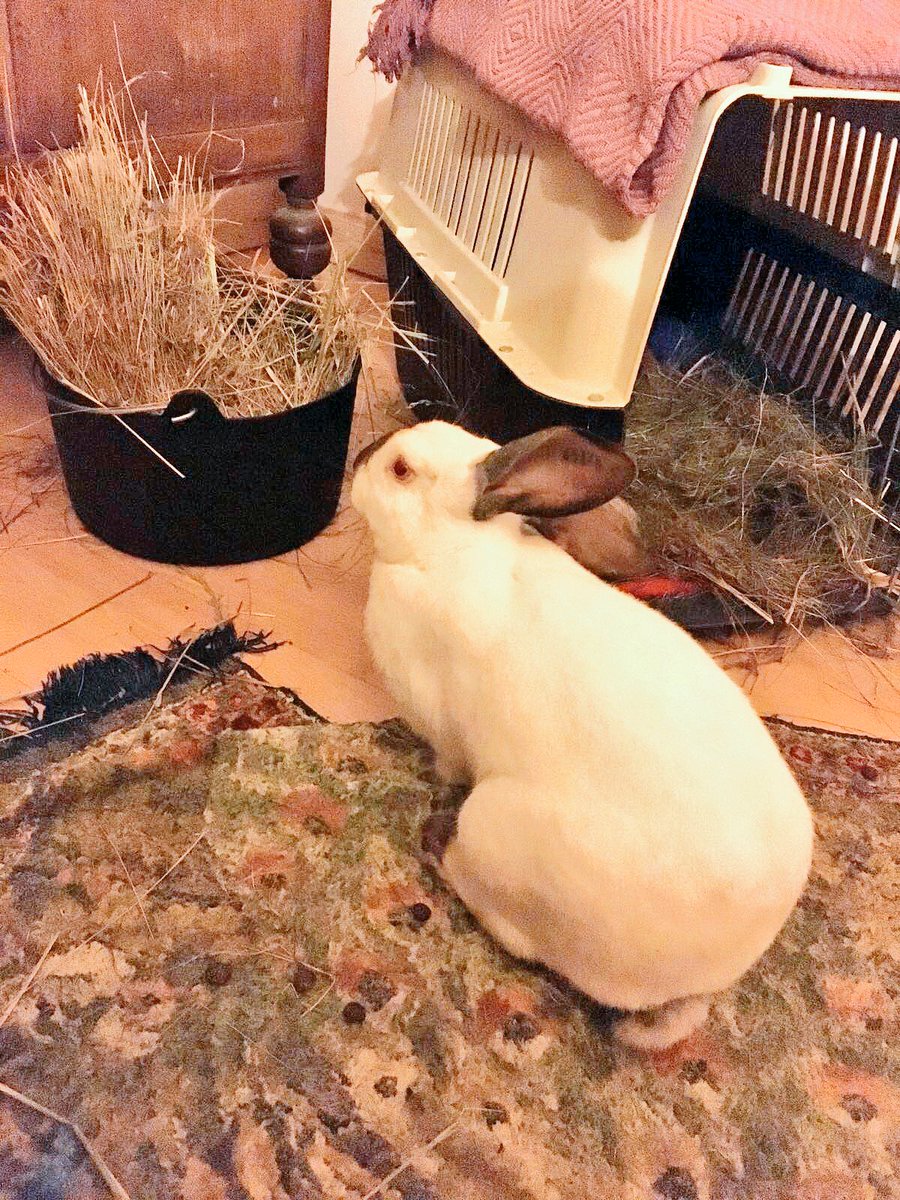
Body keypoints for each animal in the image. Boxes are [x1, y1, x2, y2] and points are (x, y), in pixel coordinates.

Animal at [351, 422, 814, 1050]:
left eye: (401, 470)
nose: (360, 456)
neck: (451, 549)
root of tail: (704, 980)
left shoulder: (444, 731)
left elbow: (445, 760)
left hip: (496, 832)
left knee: (511, 928)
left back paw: (435, 840)